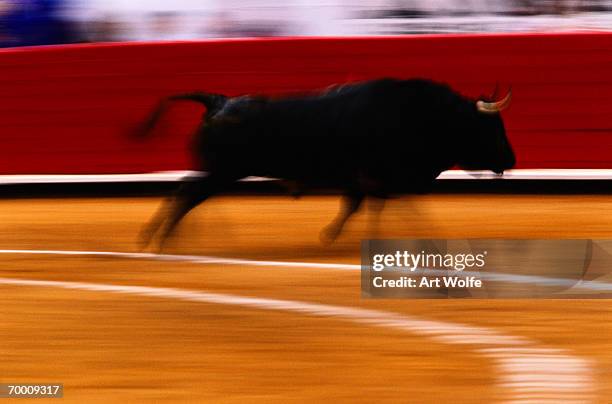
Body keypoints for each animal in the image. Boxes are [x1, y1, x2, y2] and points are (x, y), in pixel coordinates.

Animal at [136, 77, 512, 248]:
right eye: (490, 127)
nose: (512, 158)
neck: (424, 115)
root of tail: (218, 101)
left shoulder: (371, 178)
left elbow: (364, 205)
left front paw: (337, 235)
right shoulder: (384, 174)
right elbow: (385, 206)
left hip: (217, 171)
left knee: (184, 191)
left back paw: (161, 238)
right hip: (222, 171)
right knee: (188, 195)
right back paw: (163, 240)